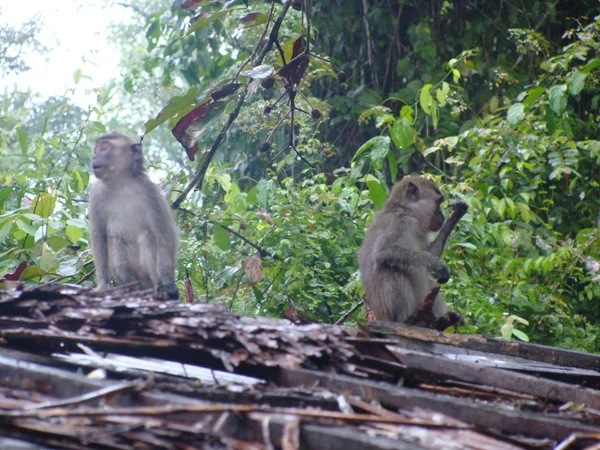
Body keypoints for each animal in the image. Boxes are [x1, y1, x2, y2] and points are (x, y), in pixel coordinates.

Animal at [86, 132, 179, 300]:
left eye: (104, 148)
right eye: (96, 151)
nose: (94, 156)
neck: (121, 184)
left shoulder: (149, 191)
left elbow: (163, 234)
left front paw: (167, 280)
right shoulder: (96, 194)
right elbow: (99, 236)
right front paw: (103, 285)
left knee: (147, 235)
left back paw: (158, 286)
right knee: (115, 239)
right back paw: (130, 287)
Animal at [358, 177, 466, 330]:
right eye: (438, 202)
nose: (442, 216)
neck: (408, 212)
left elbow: (430, 253)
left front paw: (456, 215)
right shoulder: (399, 222)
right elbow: (383, 252)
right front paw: (437, 265)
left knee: (431, 284)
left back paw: (442, 322)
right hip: (388, 315)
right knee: (391, 270)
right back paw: (408, 320)